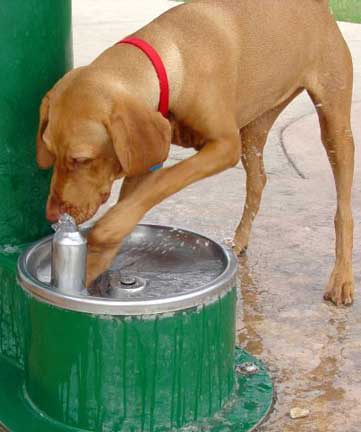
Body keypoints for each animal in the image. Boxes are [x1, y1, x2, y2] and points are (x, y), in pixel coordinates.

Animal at [37, 0, 354, 306]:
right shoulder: (145, 156)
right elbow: (134, 201)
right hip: (255, 127)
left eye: (81, 159)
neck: (173, 58)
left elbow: (165, 180)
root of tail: (321, 8)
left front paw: (106, 232)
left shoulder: (224, 146)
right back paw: (240, 239)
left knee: (343, 208)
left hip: (334, 125)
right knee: (258, 181)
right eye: (50, 152)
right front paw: (94, 262)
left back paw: (342, 278)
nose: (51, 214)